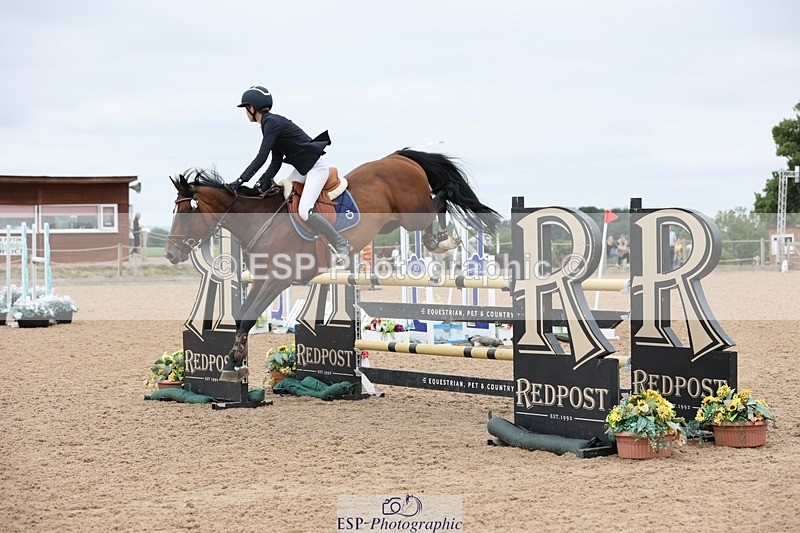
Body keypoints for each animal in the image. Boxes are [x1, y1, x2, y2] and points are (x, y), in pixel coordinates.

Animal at [165, 148, 502, 381]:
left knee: (442, 197)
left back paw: (444, 239)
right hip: (396, 220)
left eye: (186, 213)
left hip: (412, 213)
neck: (261, 220)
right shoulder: (260, 279)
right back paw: (440, 240)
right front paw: (234, 361)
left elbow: (248, 317)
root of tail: (398, 157)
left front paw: (233, 362)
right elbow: (242, 316)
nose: (170, 254)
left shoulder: (276, 281)